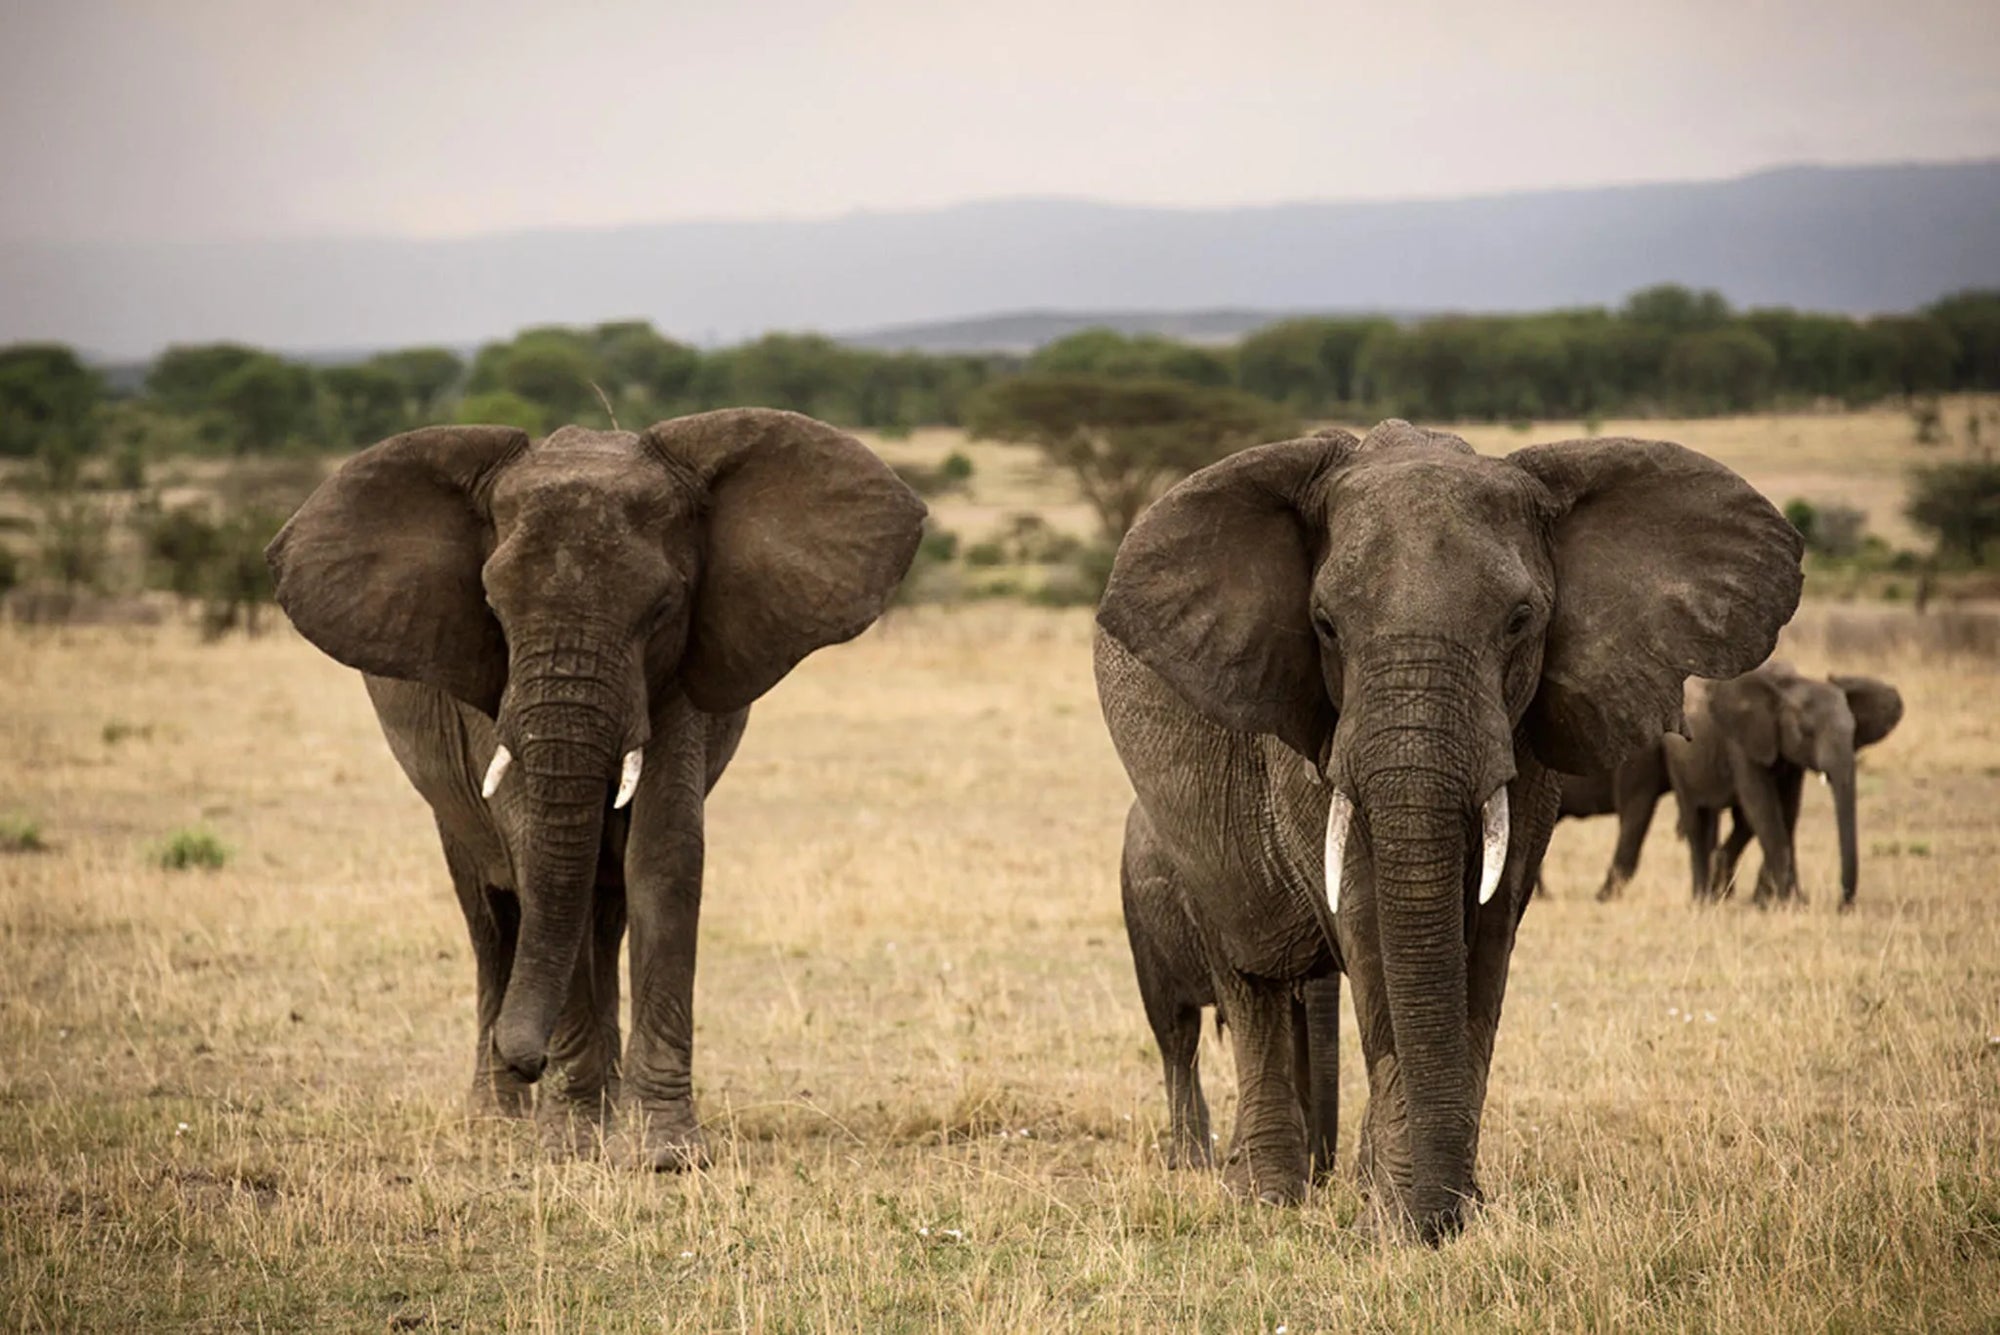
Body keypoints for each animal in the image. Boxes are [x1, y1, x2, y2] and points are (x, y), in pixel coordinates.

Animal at [266, 410, 925, 1165]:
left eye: (665, 606)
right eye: (492, 607)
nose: (527, 1057)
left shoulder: (679, 673)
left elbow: (665, 856)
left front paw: (664, 1151)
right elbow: (534, 858)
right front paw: (571, 1144)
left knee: (601, 905)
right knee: (491, 914)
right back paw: (500, 1118)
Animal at [1097, 419, 1801, 1241]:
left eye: (1521, 621)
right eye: (1324, 625)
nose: (1440, 1218)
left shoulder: (1524, 740)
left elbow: (1488, 929)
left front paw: (1433, 1211)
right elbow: (1370, 917)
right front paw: (1401, 1220)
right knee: (1250, 974)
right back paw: (1265, 1198)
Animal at [1664, 661, 1903, 909]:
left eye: (1854, 731)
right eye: (1806, 731)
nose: (1841, 906)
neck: (1788, 688)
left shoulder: (1791, 756)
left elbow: (1788, 812)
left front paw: (1772, 902)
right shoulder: (1741, 741)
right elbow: (1764, 810)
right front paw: (1792, 902)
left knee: (1732, 822)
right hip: (1677, 762)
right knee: (1695, 822)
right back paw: (1702, 900)